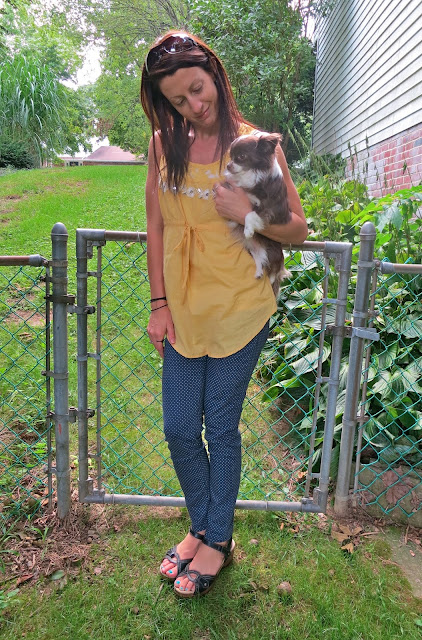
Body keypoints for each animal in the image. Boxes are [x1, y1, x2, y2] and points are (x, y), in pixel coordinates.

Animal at [224, 133, 290, 298]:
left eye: (241, 156)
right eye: (231, 156)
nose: (228, 165)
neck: (251, 173)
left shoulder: (270, 210)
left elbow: (250, 214)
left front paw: (248, 229)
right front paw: (233, 221)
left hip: (274, 253)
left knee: (275, 268)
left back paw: (272, 276)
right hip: (255, 249)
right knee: (260, 258)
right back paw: (259, 272)